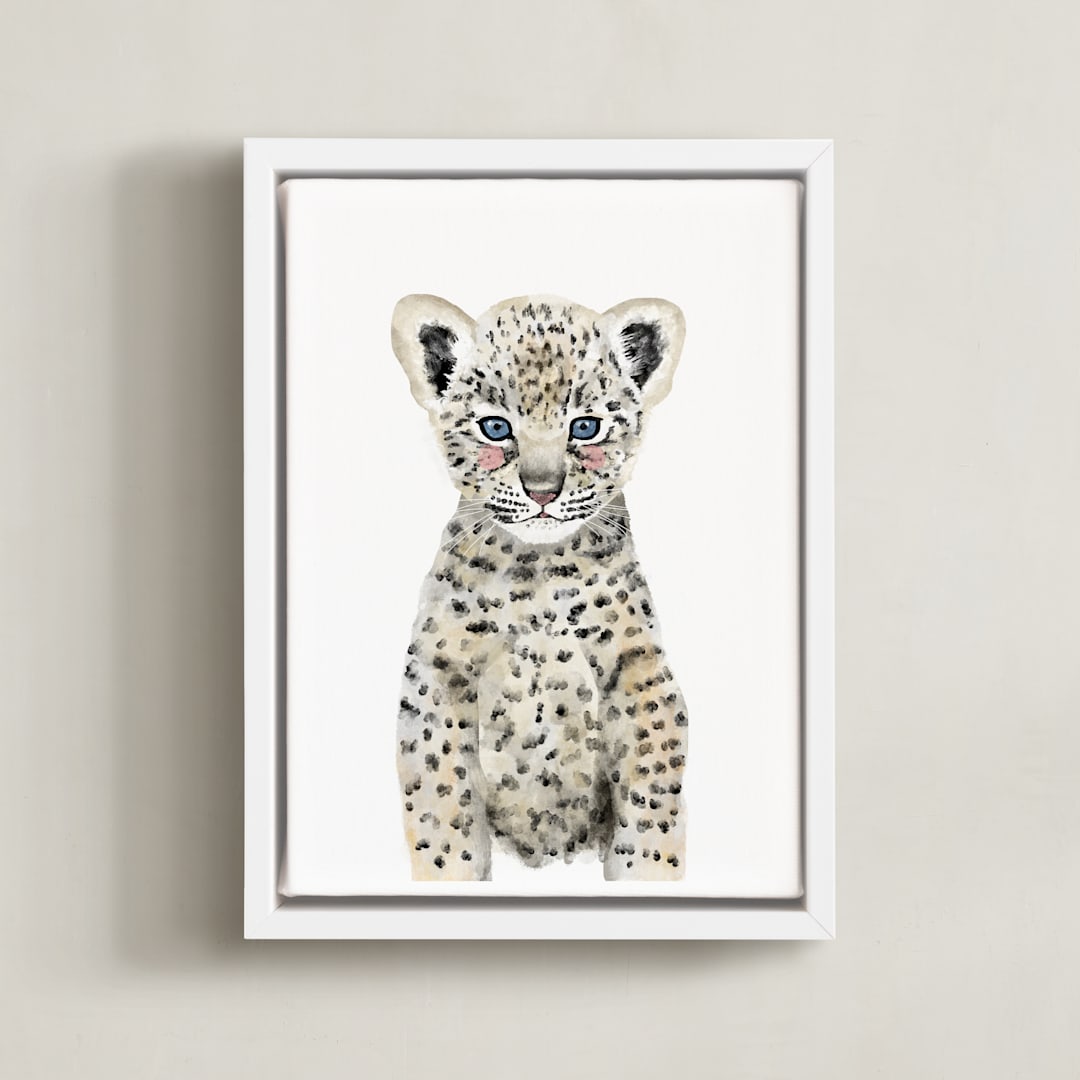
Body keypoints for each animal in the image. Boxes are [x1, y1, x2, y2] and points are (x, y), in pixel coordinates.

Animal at [390, 293, 689, 882]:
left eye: (586, 427)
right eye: (495, 428)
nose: (544, 491)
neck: (539, 575)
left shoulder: (640, 671)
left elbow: (651, 794)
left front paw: (647, 871)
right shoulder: (437, 675)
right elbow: (442, 804)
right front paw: (448, 873)